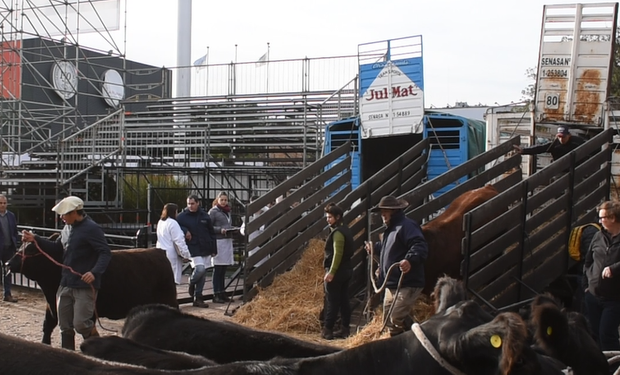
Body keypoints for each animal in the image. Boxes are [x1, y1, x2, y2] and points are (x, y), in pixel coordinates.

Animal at [7, 238, 178, 346]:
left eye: (30, 249)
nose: (8, 263)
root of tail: (159, 251)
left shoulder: (88, 312)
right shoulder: (52, 305)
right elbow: (48, 325)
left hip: (169, 300)